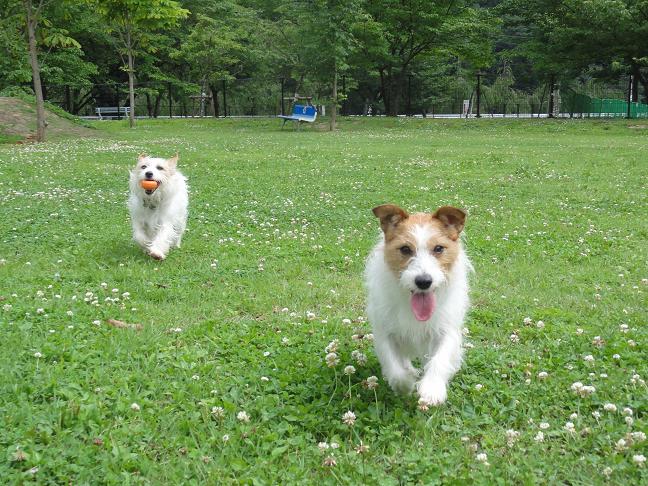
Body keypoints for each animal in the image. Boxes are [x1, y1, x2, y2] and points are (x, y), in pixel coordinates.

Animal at [364, 204, 470, 406]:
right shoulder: (385, 332)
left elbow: (439, 360)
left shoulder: (446, 330)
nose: (423, 281)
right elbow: (395, 368)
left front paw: (432, 389)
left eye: (438, 248)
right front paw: (406, 383)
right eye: (405, 249)